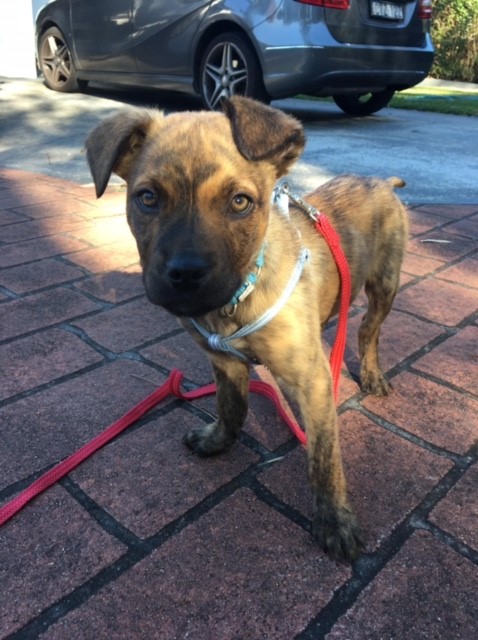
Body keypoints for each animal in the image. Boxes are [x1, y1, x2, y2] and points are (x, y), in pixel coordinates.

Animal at [85, 97, 408, 562]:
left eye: (240, 202)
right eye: (147, 198)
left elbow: (323, 457)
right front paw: (219, 440)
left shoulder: (310, 380)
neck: (236, 299)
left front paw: (334, 519)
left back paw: (371, 373)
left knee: (368, 332)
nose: (185, 274)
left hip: (385, 284)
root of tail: (381, 181)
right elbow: (231, 405)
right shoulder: (224, 362)